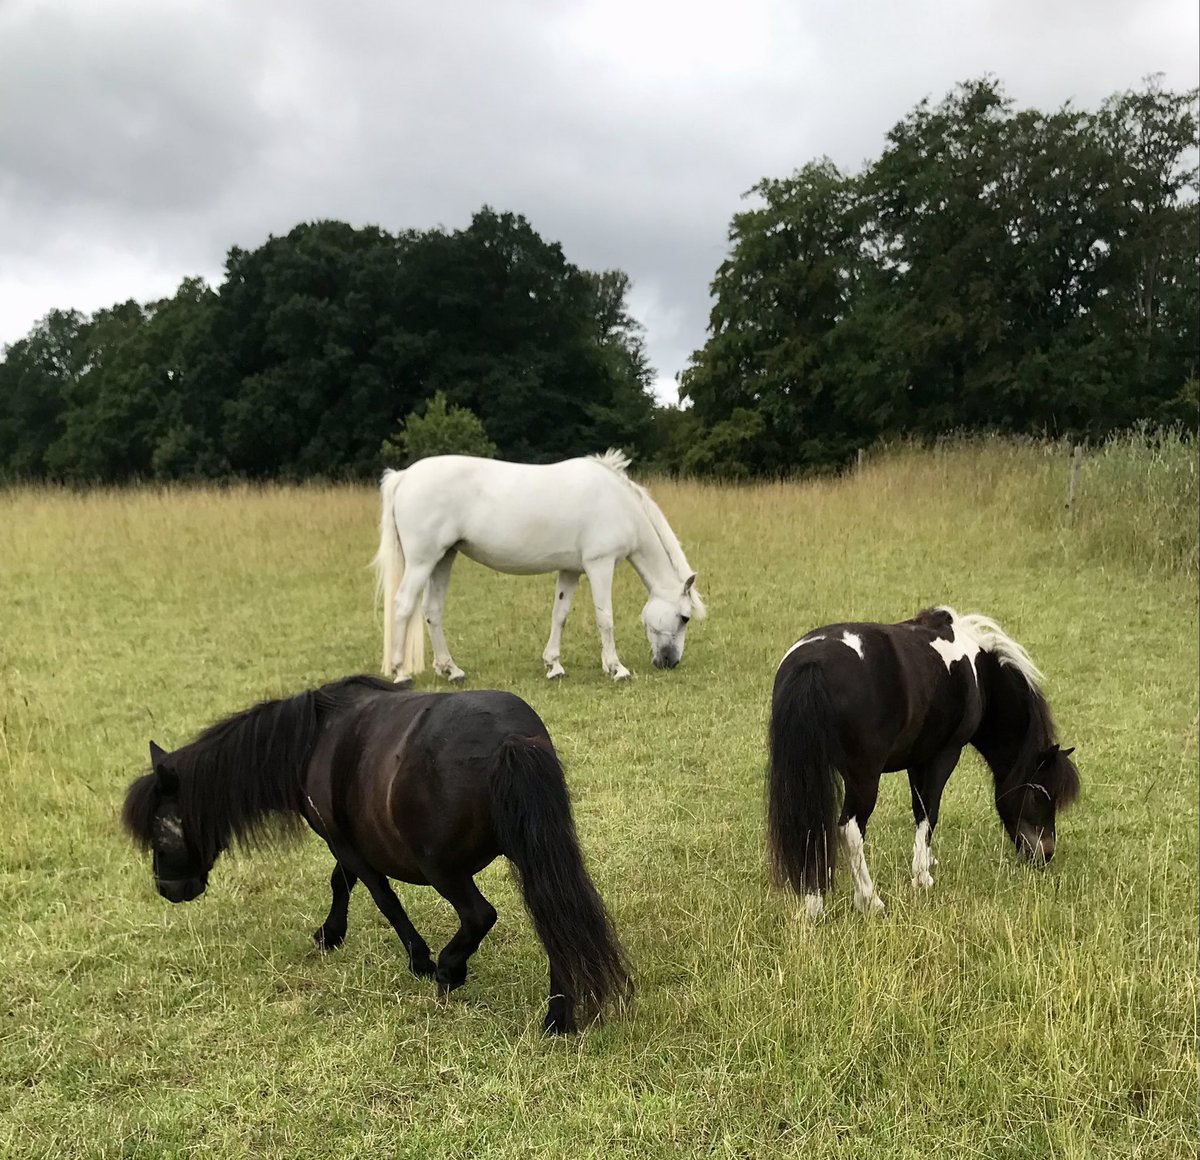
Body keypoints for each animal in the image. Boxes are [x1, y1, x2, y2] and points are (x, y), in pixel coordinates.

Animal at [121, 676, 631, 1034]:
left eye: (160, 832)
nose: (167, 889)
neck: (311, 738)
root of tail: (509, 738)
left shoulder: (348, 844)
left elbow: (381, 897)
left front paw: (420, 961)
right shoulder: (350, 841)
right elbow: (341, 881)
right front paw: (331, 933)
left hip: (443, 868)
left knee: (479, 915)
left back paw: (451, 969)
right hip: (536, 854)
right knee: (556, 918)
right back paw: (557, 1017)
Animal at [373, 449, 705, 684]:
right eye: (685, 617)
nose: (670, 662)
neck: (618, 503)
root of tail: (404, 476)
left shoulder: (571, 570)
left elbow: (560, 615)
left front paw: (554, 665)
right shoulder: (600, 565)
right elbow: (605, 618)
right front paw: (616, 668)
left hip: (444, 558)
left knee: (432, 610)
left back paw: (451, 670)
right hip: (422, 561)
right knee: (404, 605)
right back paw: (401, 672)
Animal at [767, 606, 1080, 919]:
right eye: (1039, 796)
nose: (1045, 854)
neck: (978, 672)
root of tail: (813, 663)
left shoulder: (916, 760)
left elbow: (920, 809)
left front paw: (927, 862)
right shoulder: (943, 755)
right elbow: (929, 813)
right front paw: (922, 876)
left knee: (811, 830)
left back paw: (813, 905)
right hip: (863, 776)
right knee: (849, 830)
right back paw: (870, 900)